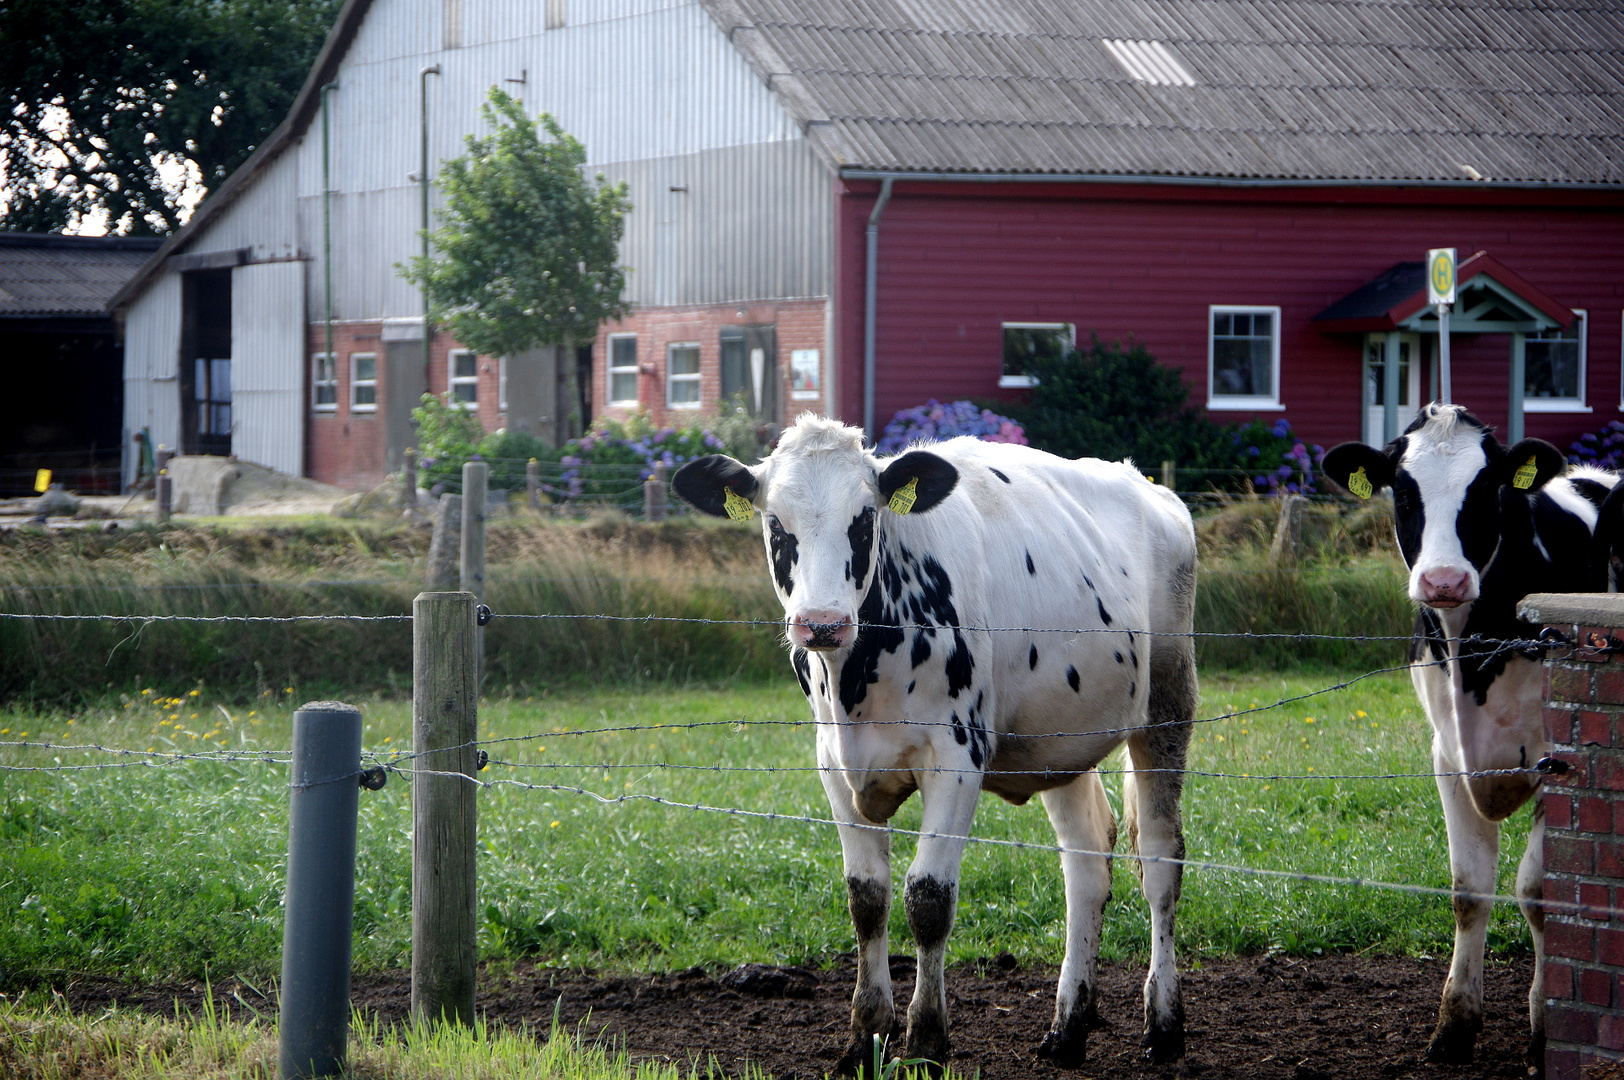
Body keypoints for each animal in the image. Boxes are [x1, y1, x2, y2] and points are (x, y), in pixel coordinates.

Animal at [675, 414, 1208, 1071]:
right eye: (776, 522)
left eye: (865, 517)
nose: (822, 623)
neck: (858, 681)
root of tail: (1152, 489)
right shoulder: (833, 767)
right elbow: (866, 899)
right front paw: (864, 1038)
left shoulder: (958, 759)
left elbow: (928, 898)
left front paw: (926, 1041)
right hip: (1062, 739)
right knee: (1085, 862)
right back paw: (1067, 1029)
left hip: (1168, 707)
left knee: (1159, 859)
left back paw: (1164, 1024)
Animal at [1325, 404, 1617, 1071]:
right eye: (1404, 492)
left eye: (1488, 492)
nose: (1443, 581)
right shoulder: (1448, 755)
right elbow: (1468, 891)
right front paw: (1455, 1025)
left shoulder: (1558, 761)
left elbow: (1537, 891)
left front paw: (1543, 1031)